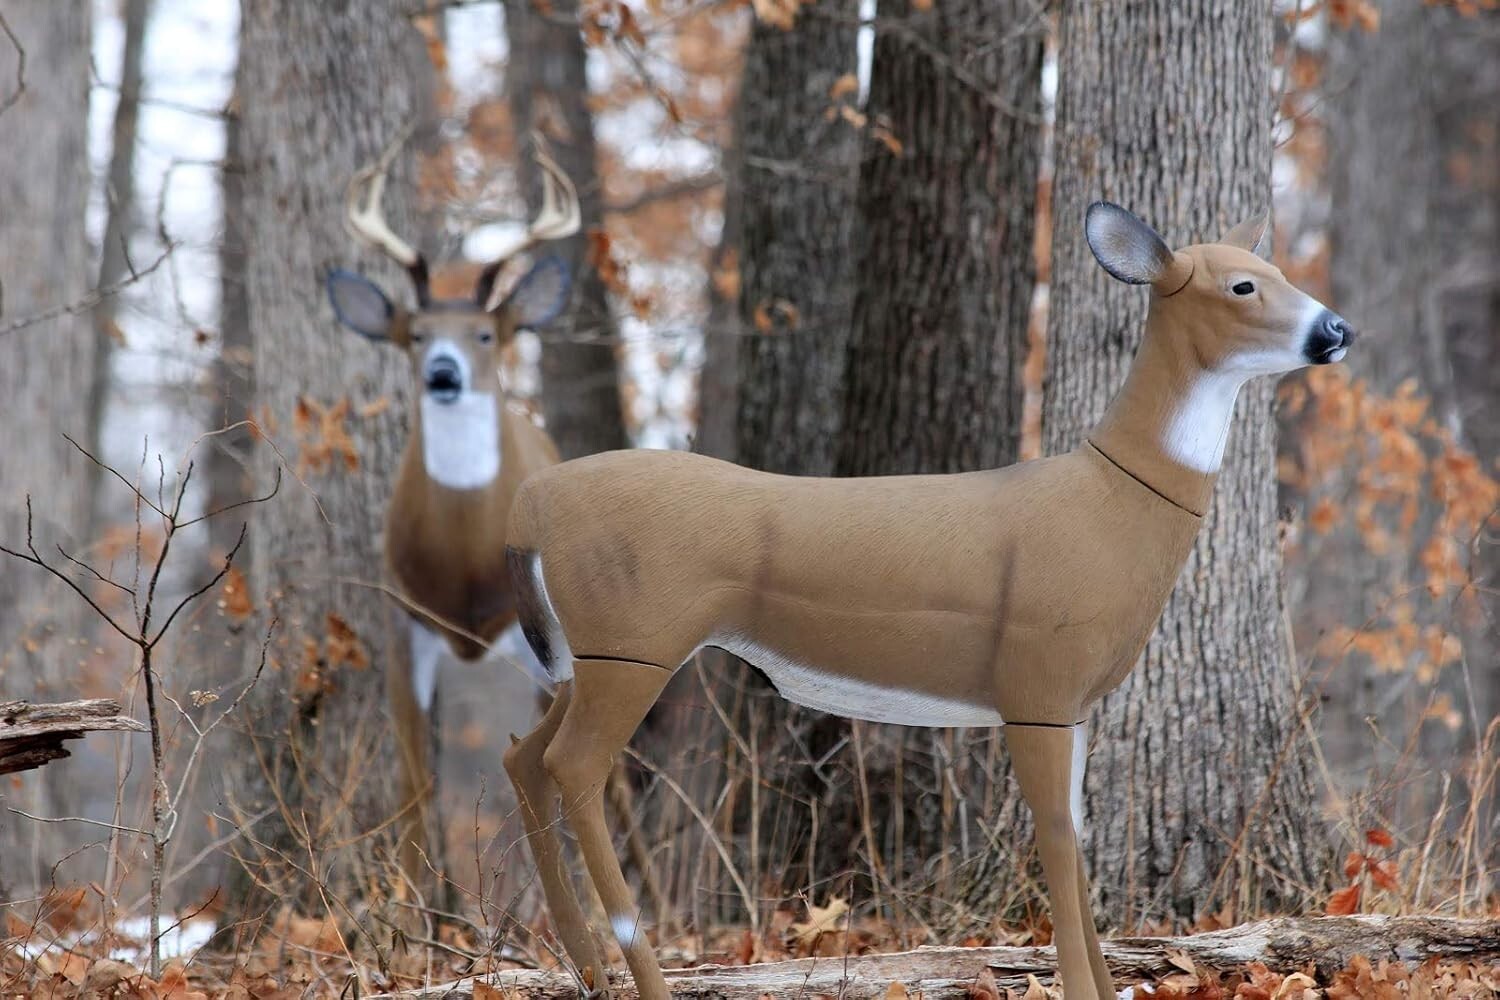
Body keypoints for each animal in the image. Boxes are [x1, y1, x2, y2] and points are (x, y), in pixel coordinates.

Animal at [324, 131, 578, 885]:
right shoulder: (404, 622)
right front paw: (416, 909)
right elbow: (415, 790)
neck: (466, 560)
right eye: (416, 335)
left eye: (485, 336)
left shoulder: (536, 638)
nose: (443, 373)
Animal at [499, 202, 1357, 1000]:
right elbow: (1054, 836)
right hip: (635, 641)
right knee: (575, 766)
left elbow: (1077, 836)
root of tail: (531, 505)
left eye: (1276, 268)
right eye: (1242, 285)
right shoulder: (1036, 683)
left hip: (590, 653)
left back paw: (587, 969)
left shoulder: (1076, 703)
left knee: (525, 756)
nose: (1336, 329)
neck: (1111, 502)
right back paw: (640, 976)